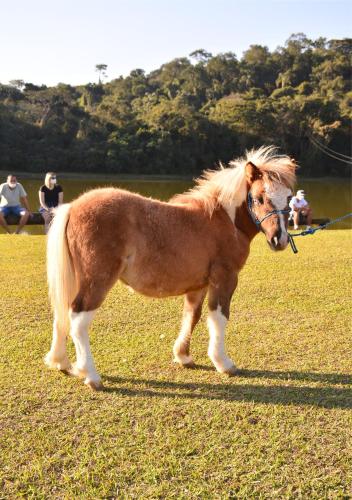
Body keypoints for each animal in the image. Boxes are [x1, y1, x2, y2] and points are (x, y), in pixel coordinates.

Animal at [45, 146, 296, 388]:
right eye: (259, 198)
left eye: (289, 198)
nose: (279, 239)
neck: (225, 219)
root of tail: (73, 207)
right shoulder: (225, 278)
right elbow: (219, 317)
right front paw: (223, 362)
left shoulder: (199, 285)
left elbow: (191, 316)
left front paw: (183, 355)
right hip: (98, 280)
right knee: (78, 319)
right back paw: (90, 375)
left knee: (62, 314)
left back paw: (61, 362)